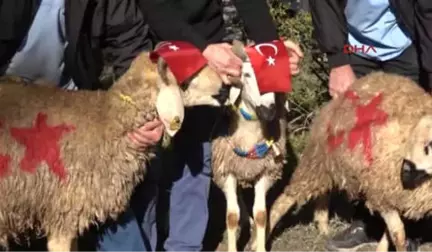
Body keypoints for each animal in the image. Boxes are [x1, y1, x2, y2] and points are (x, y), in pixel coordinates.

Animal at [212, 39, 292, 252]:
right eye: (247, 74)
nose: (268, 111)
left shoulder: (265, 171)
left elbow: (261, 215)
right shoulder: (227, 171)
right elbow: (231, 217)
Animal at [264, 71, 432, 252]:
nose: (408, 171)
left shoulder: (394, 196)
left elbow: (390, 233)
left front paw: (381, 248)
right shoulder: (381, 191)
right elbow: (398, 233)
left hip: (328, 165)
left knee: (323, 194)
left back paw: (323, 227)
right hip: (315, 161)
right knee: (284, 200)